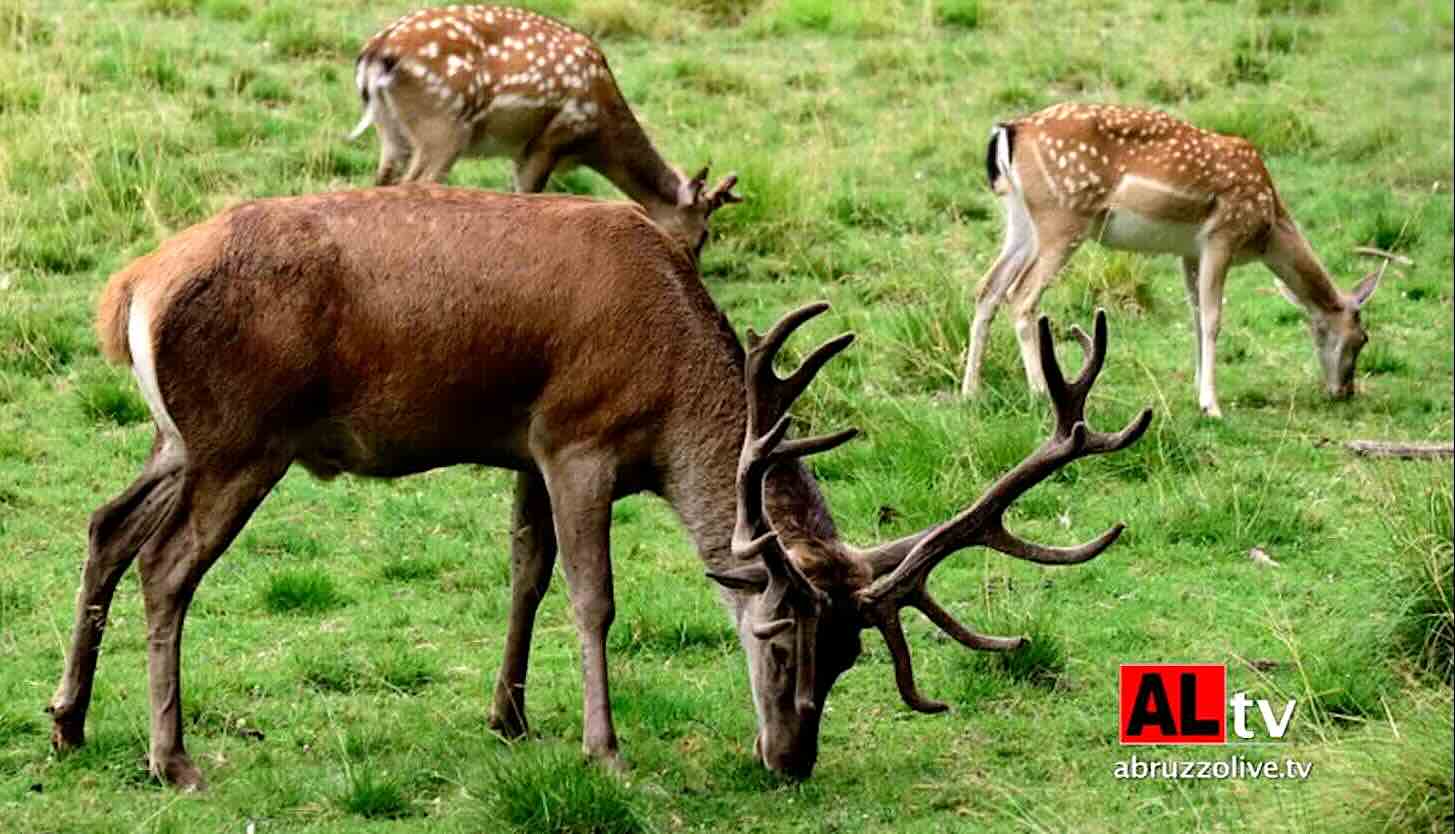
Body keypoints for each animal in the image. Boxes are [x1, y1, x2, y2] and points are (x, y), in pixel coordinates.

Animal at [48, 181, 1146, 785]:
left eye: (848, 660)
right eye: (777, 639)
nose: (791, 761)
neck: (669, 395)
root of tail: (132, 287)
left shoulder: (525, 448)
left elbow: (525, 575)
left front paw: (509, 716)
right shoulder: (577, 438)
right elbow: (591, 597)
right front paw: (603, 748)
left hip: (179, 437)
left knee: (105, 526)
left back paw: (67, 723)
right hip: (243, 437)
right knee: (166, 566)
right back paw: (172, 758)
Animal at [344, 4, 733, 250]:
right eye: (703, 235)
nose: (691, 267)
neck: (597, 134)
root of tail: (376, 54)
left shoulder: (523, 151)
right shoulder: (550, 140)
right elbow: (530, 197)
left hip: (391, 129)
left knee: (382, 180)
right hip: (443, 126)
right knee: (415, 184)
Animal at [966, 104, 1385, 416]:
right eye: (1362, 338)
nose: (1344, 391)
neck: (1268, 226)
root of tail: (1009, 131)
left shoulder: (1189, 252)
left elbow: (1196, 316)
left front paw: (1199, 390)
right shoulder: (1222, 236)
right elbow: (1214, 318)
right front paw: (1211, 405)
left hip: (1020, 219)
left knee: (988, 287)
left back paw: (970, 391)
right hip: (1063, 218)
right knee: (1021, 295)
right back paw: (1039, 393)